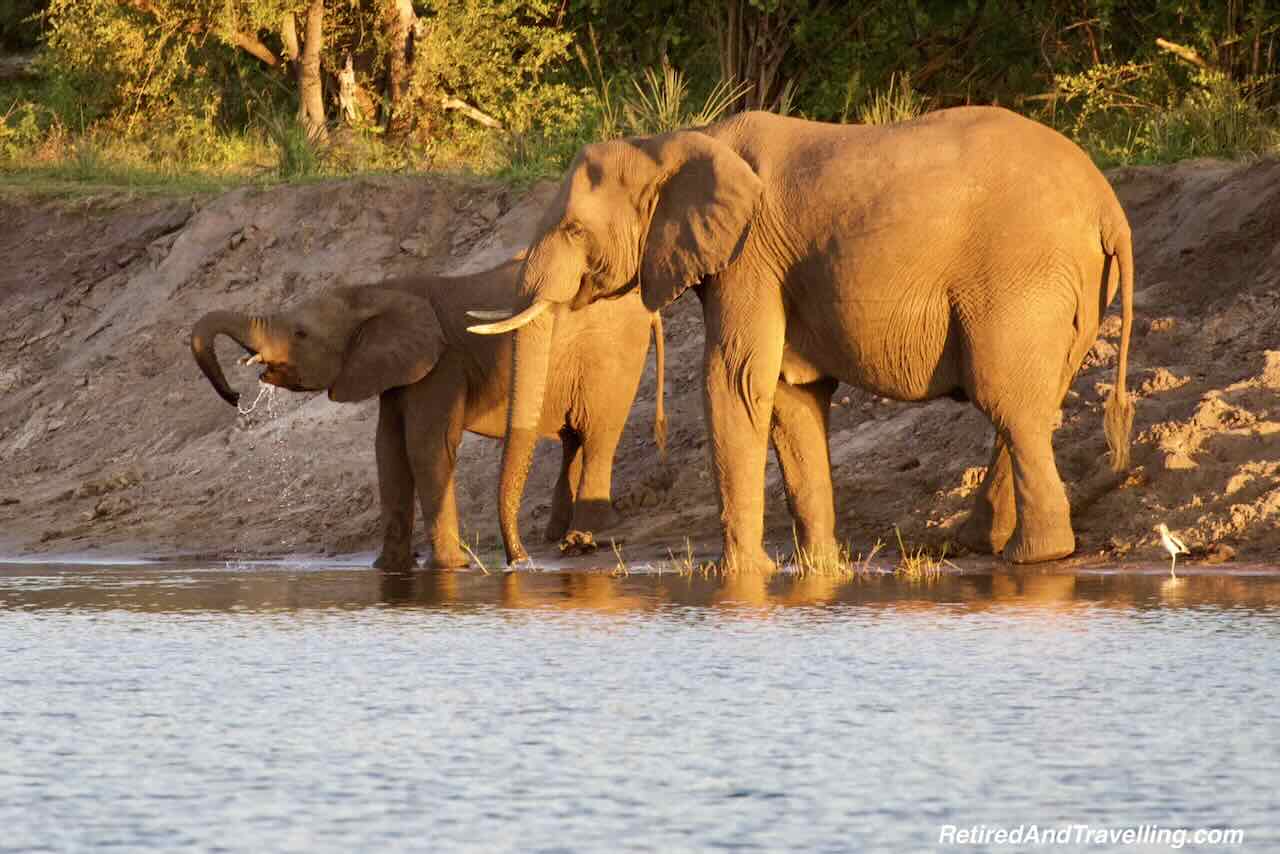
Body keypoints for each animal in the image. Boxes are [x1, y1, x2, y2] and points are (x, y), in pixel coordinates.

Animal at [194, 257, 670, 571]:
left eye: (300, 333)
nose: (234, 395)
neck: (379, 290)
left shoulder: (443, 363)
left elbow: (425, 446)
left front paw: (450, 567)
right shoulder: (397, 368)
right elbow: (387, 451)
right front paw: (389, 569)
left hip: (612, 357)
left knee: (598, 435)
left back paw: (582, 538)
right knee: (573, 439)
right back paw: (557, 538)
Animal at [476, 108, 1136, 573]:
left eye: (573, 229)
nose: (521, 562)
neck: (676, 141)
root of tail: (1110, 208)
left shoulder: (749, 257)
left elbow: (736, 379)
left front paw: (740, 575)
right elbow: (791, 394)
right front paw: (818, 570)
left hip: (1019, 280)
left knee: (1008, 401)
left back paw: (1036, 557)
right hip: (1070, 290)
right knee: (1032, 405)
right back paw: (977, 546)